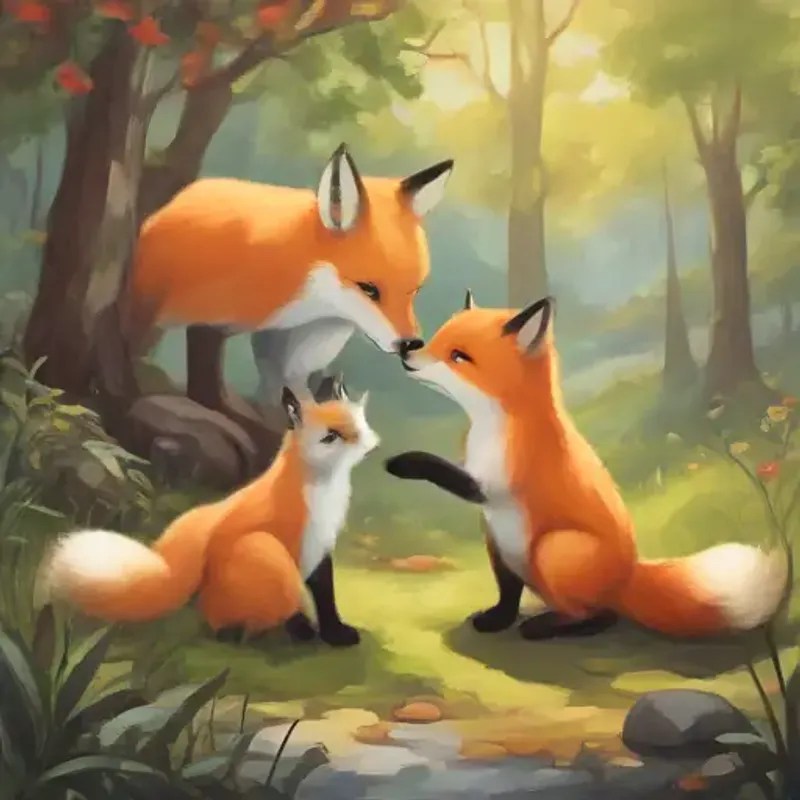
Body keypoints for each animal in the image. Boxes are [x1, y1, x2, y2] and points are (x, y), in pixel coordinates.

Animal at [38, 377, 378, 648]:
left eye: (357, 426)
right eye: (331, 436)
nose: (365, 444)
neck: (323, 493)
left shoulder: (320, 547)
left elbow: (326, 599)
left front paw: (335, 634)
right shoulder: (292, 547)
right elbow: (298, 598)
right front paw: (304, 630)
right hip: (262, 547)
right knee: (225, 623)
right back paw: (251, 633)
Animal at [131, 144, 454, 406]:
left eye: (414, 290)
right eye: (369, 289)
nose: (411, 344)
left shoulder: (295, 343)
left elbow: (289, 388)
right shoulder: (209, 322)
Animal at [385, 292, 789, 640]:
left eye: (459, 356)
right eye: (437, 339)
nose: (407, 350)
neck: (497, 425)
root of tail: (627, 577)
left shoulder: (493, 481)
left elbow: (442, 470)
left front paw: (402, 463)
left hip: (553, 549)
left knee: (598, 615)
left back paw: (546, 627)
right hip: (499, 543)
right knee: (512, 594)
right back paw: (501, 620)